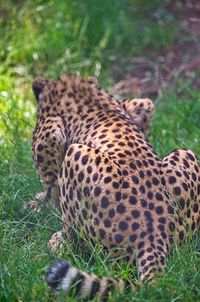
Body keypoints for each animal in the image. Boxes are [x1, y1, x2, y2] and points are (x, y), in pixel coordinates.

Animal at [32, 75, 199, 300]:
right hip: (186, 154)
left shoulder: (49, 132)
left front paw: (40, 201)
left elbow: (49, 180)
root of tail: (154, 229)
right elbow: (145, 108)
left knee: (76, 244)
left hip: (75, 154)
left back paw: (58, 242)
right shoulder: (139, 105)